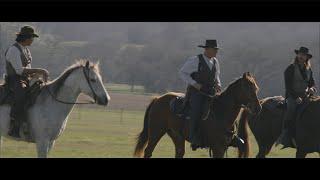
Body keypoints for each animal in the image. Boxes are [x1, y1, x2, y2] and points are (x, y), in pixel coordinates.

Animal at [134, 72, 262, 158]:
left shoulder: (225, 145)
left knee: (179, 152)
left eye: (255, 88)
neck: (221, 112)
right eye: (247, 88)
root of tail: (157, 99)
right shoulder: (217, 147)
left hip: (177, 136)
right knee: (148, 151)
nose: (258, 108)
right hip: (156, 132)